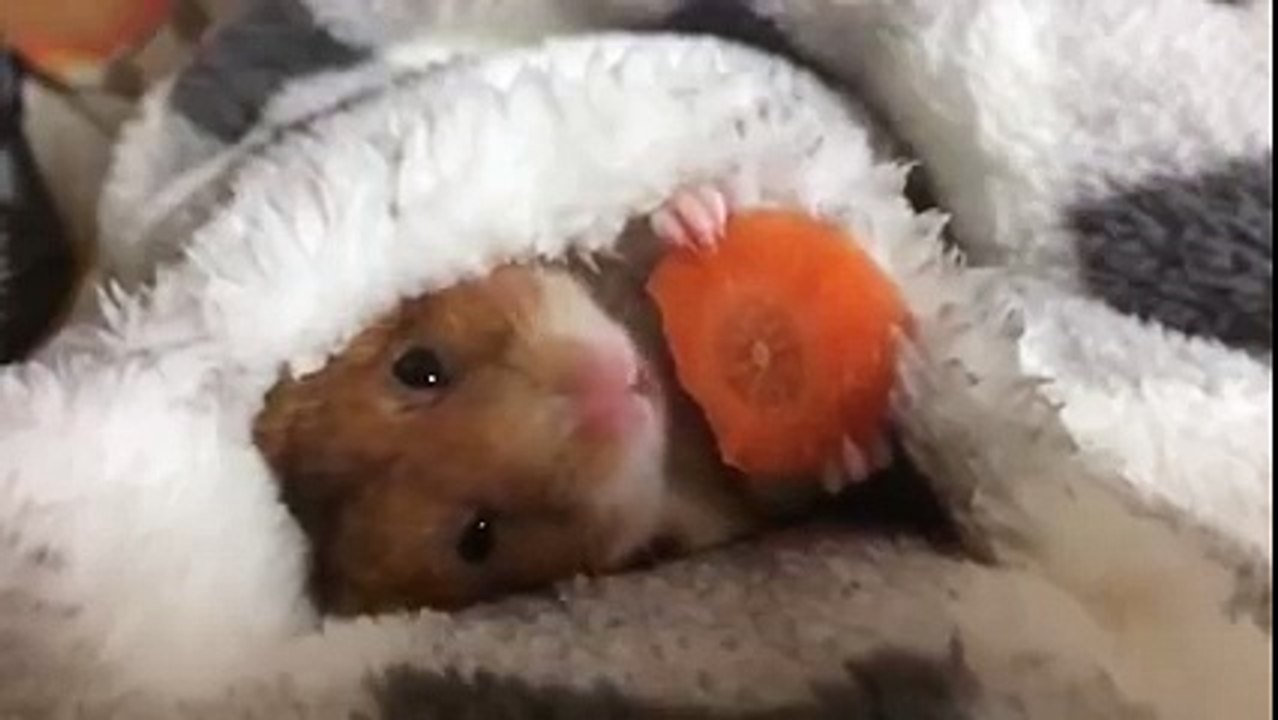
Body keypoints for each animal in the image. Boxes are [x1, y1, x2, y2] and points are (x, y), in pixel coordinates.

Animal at [252, 186, 888, 615]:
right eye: (476, 538)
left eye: (418, 369)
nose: (608, 388)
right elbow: (779, 481)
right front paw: (848, 450)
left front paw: (696, 218)